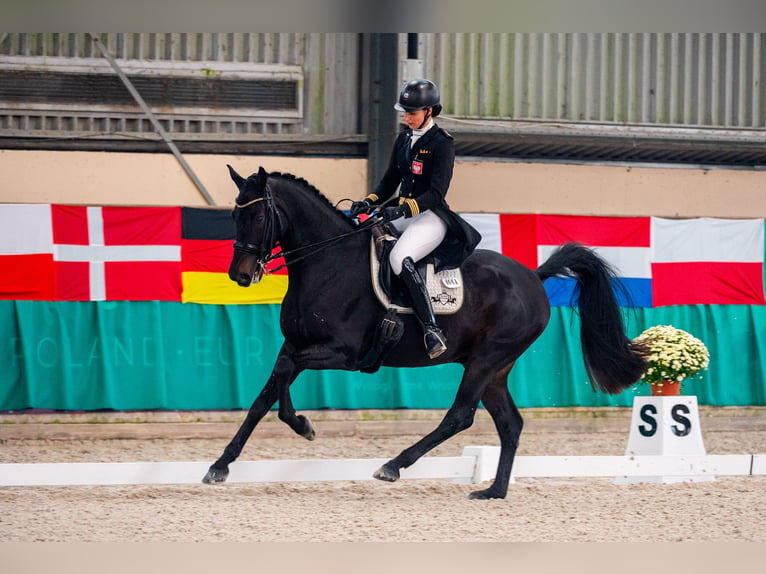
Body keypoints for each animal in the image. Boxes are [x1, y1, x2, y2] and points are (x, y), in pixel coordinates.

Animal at [204, 166, 648, 500]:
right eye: (234, 216)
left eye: (259, 217)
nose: (240, 275)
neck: (327, 263)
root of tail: (534, 278)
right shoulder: (294, 344)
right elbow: (264, 395)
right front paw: (220, 466)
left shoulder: (342, 353)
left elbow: (281, 383)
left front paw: (303, 426)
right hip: (495, 368)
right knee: (510, 424)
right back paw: (493, 491)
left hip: (486, 360)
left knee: (460, 416)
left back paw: (393, 466)